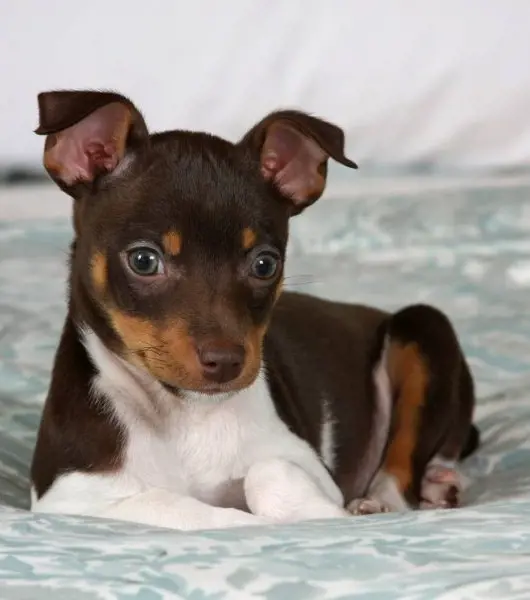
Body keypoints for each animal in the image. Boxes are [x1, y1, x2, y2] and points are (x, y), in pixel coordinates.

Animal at [28, 89, 476, 528]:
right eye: (143, 260)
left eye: (265, 264)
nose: (226, 361)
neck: (183, 414)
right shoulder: (69, 498)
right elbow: (182, 509)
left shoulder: (308, 464)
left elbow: (266, 472)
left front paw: (321, 514)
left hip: (423, 327)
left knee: (403, 471)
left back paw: (395, 497)